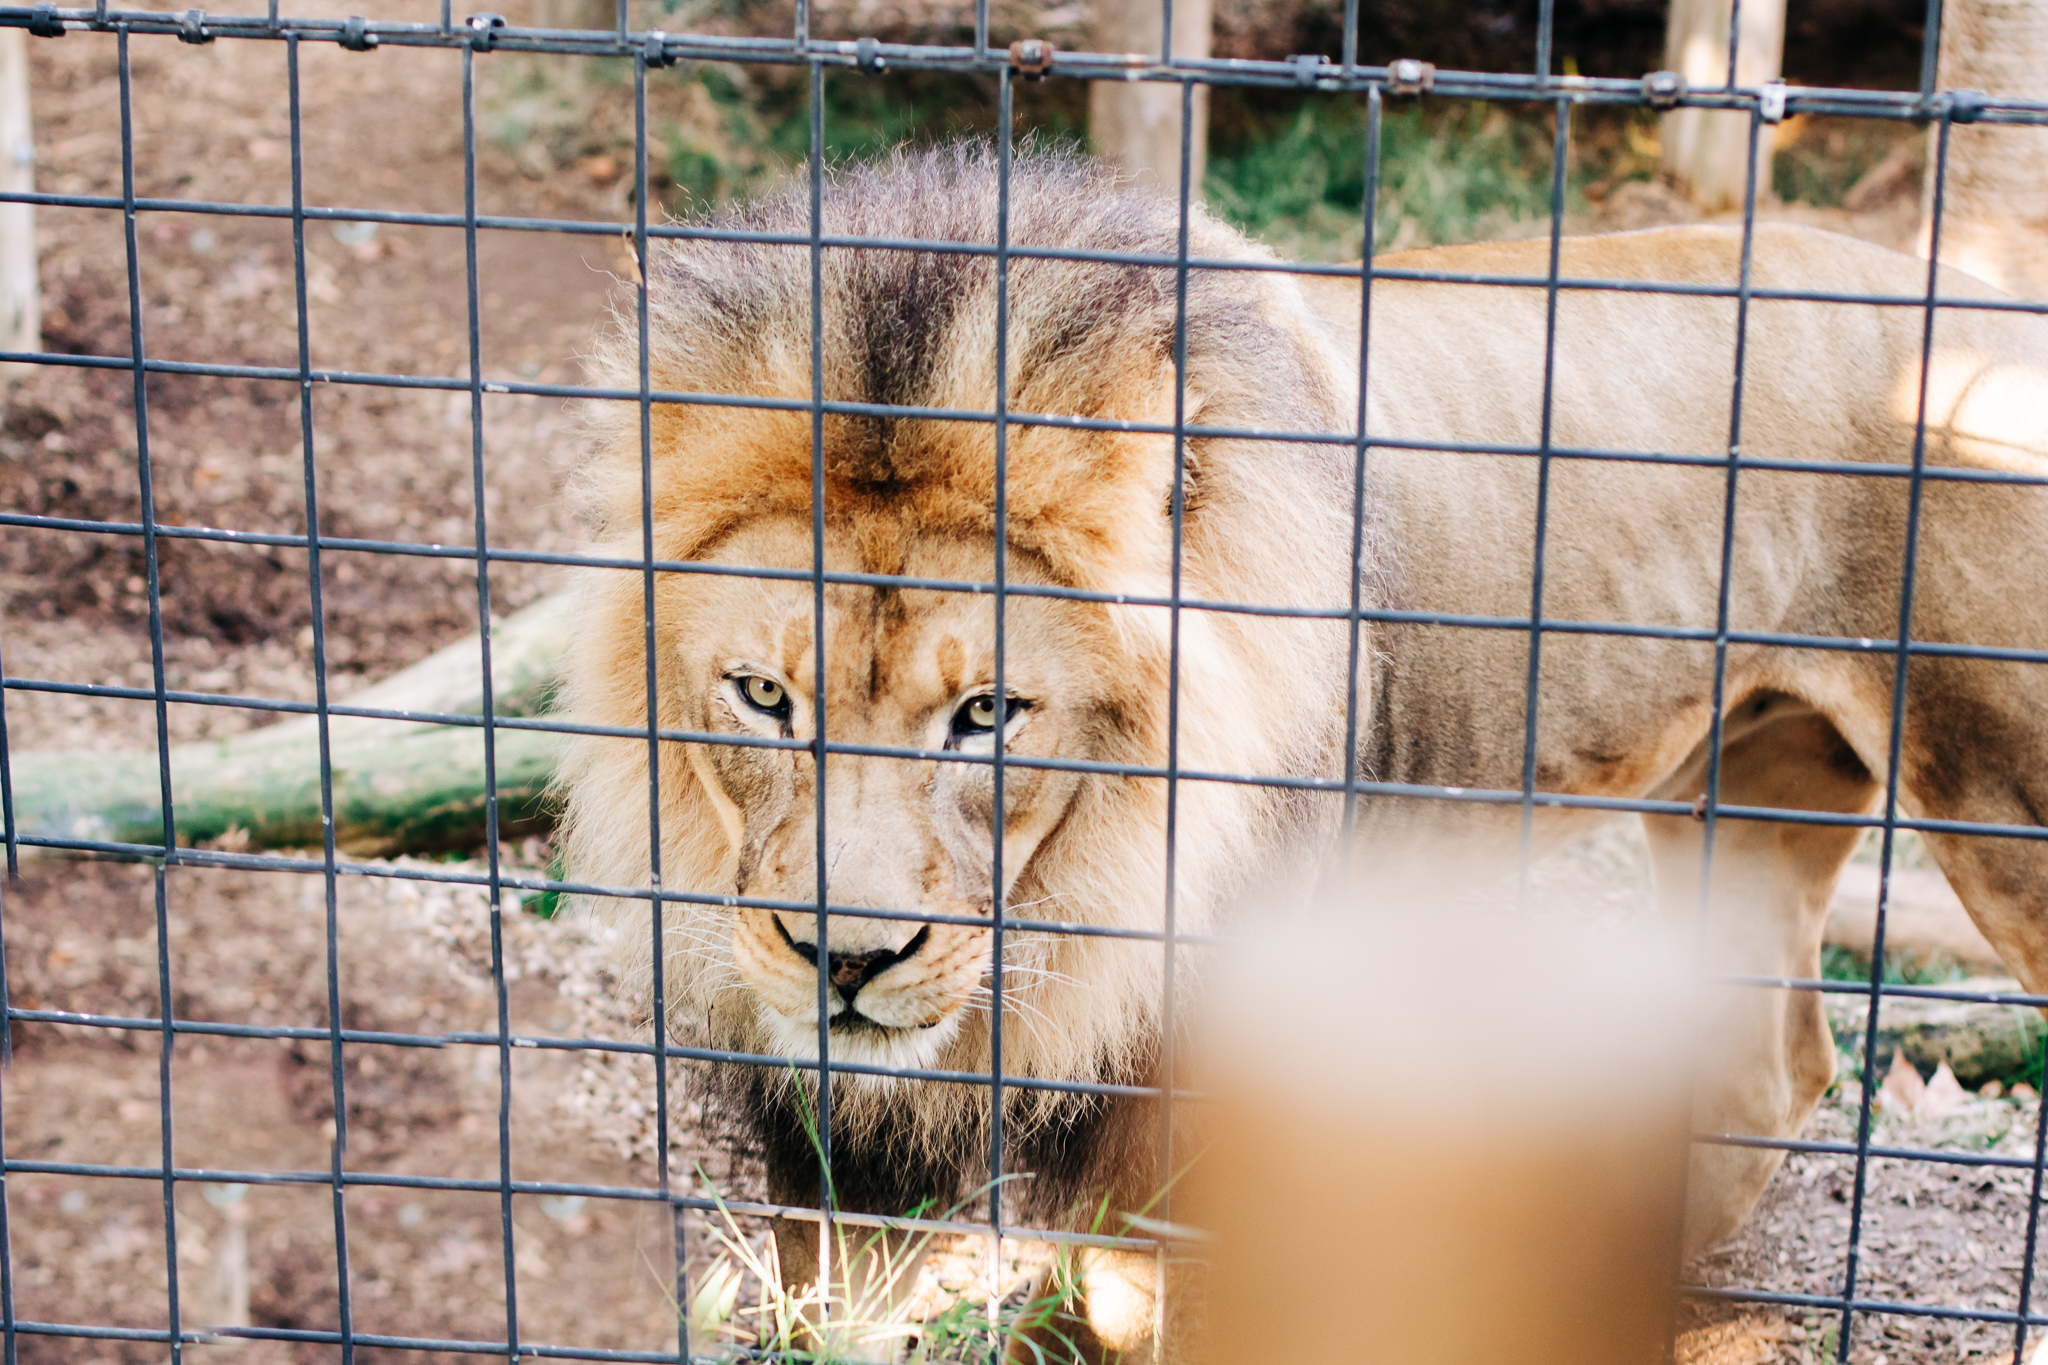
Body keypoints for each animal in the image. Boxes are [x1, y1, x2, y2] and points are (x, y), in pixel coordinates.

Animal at [565, 144, 2048, 1358]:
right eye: (763, 696)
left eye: (988, 714)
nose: (845, 962)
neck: (1086, 898)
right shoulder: (827, 1123)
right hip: (1740, 788)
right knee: (1771, 1064)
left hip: (2000, 800)